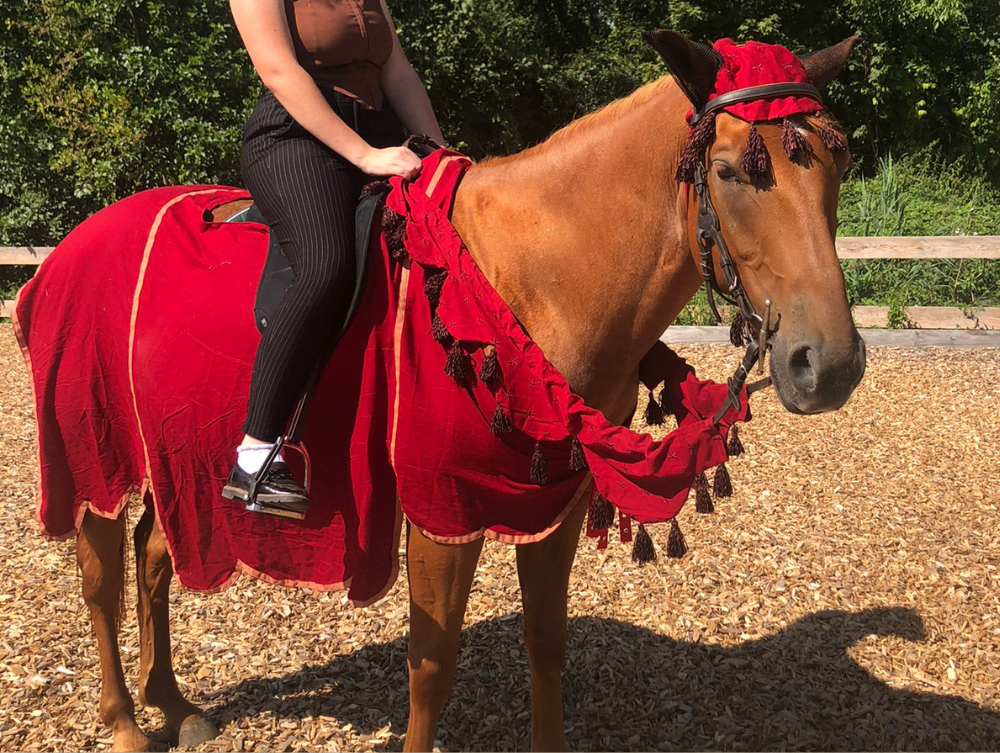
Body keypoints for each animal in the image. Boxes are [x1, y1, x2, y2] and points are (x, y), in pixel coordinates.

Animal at [15, 30, 864, 752]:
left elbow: (546, 641)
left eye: (839, 161)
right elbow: (432, 664)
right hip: (99, 449)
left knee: (156, 553)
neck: (524, 283)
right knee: (100, 576)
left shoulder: (553, 504)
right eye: (732, 171)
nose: (829, 364)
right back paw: (125, 722)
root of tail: (64, 253)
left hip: (180, 452)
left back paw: (175, 703)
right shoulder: (441, 509)